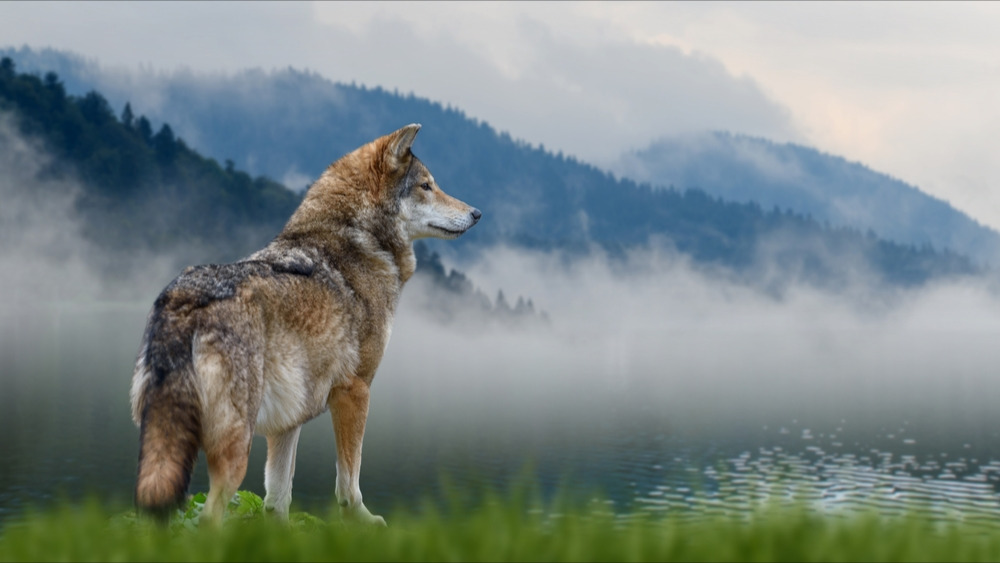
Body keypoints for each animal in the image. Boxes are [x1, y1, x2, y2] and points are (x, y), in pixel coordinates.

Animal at [129, 125, 480, 528]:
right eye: (426, 185)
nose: (477, 213)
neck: (357, 241)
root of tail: (185, 299)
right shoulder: (355, 391)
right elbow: (349, 480)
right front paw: (363, 521)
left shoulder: (289, 417)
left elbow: (278, 495)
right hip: (234, 450)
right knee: (208, 518)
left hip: (163, 449)